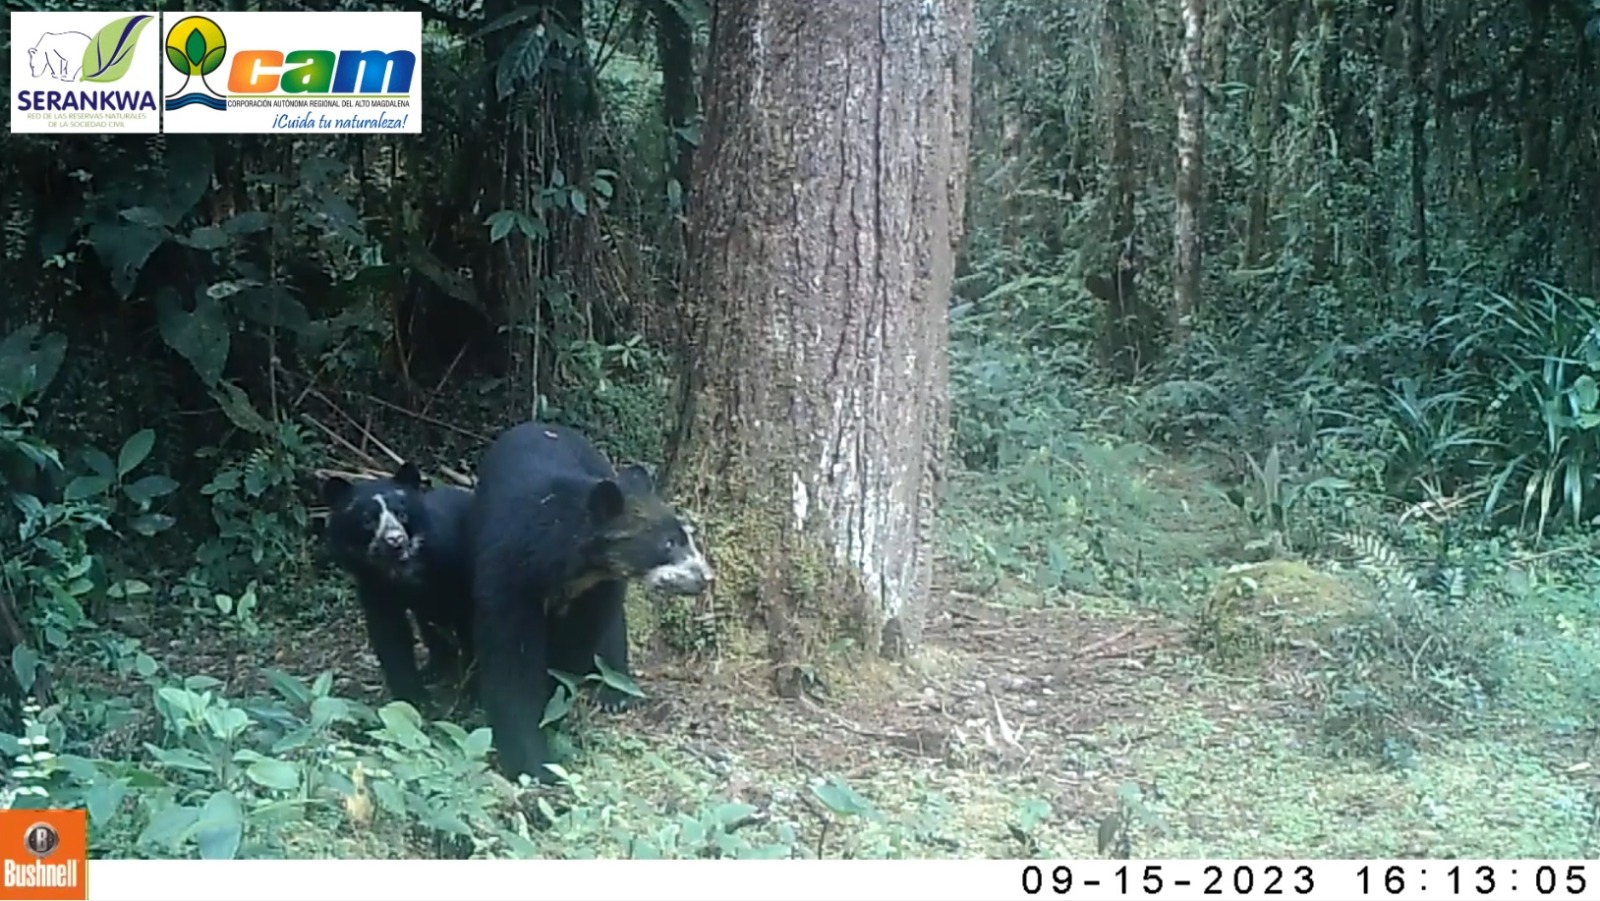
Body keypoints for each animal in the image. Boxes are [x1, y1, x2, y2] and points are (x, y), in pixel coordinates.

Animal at [320, 462, 477, 709]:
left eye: (402, 515)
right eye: (367, 520)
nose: (395, 541)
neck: (404, 571)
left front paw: (471, 694)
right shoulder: (374, 586)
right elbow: (391, 637)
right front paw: (415, 701)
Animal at [466, 422, 714, 783]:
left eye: (686, 537)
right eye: (668, 543)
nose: (706, 577)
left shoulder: (597, 591)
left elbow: (578, 646)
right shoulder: (505, 579)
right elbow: (511, 667)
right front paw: (535, 763)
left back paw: (616, 691)